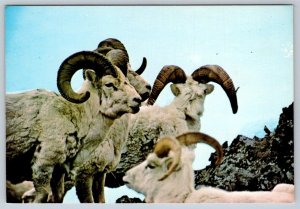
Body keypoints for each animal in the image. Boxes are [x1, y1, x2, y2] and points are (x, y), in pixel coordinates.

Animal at [5, 49, 142, 202]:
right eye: (109, 84)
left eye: (126, 81)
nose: (138, 100)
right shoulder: (43, 165)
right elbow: (43, 195)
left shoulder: (59, 172)